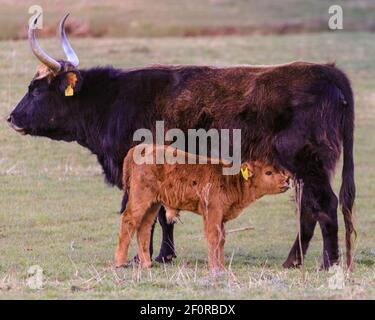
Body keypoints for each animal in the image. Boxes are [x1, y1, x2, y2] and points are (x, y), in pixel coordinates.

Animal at [114, 145, 290, 272]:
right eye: (268, 172)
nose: (287, 180)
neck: (230, 179)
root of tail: (141, 148)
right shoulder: (212, 212)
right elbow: (213, 237)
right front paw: (215, 267)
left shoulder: (221, 217)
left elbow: (222, 239)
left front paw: (222, 266)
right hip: (140, 199)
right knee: (129, 221)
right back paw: (120, 263)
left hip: (153, 204)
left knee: (144, 227)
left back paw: (147, 264)